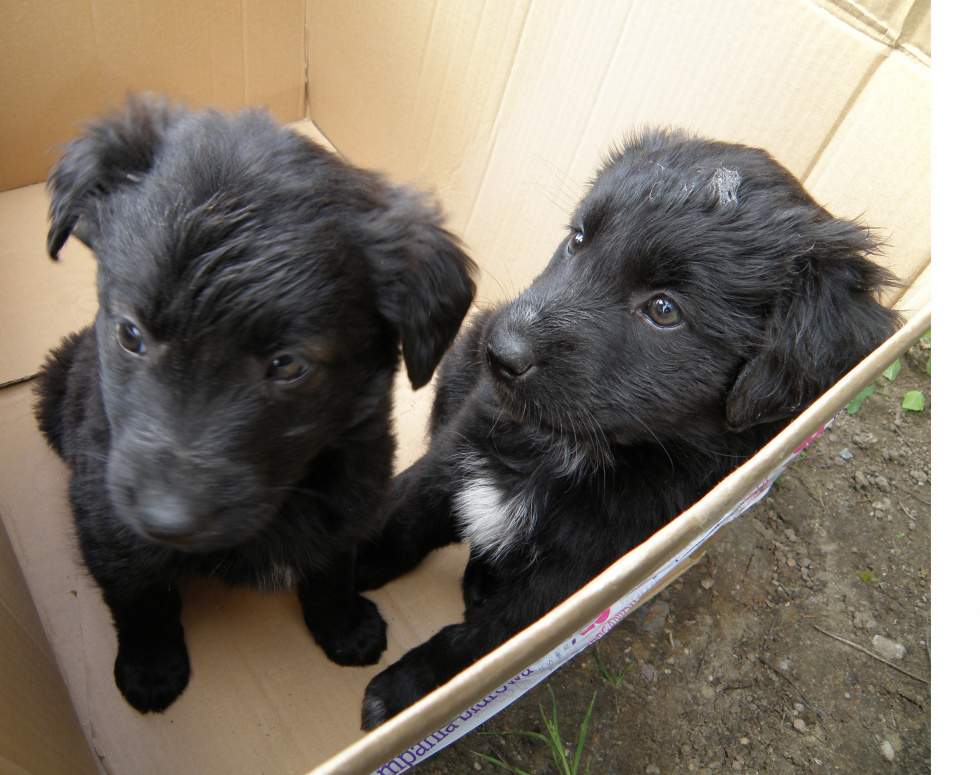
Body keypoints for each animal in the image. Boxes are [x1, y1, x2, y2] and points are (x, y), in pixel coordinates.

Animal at [37, 97, 478, 716]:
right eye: (129, 334)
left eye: (287, 365)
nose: (167, 520)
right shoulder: (105, 515)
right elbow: (138, 595)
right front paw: (150, 667)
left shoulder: (354, 484)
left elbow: (332, 567)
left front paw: (344, 627)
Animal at [356, 126, 900, 728]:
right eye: (577, 240)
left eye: (664, 310)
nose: (502, 353)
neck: (568, 449)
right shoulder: (460, 446)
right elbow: (407, 518)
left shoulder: (575, 578)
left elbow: (483, 641)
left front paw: (408, 690)